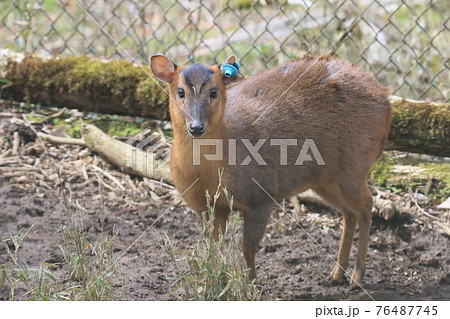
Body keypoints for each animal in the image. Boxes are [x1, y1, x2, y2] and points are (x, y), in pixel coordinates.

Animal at [150, 53, 390, 286]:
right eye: (180, 91)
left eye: (213, 91)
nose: (196, 127)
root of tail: (386, 96)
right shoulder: (207, 207)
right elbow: (213, 248)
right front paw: (213, 283)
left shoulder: (261, 196)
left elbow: (248, 249)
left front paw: (252, 285)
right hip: (326, 179)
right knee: (349, 213)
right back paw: (336, 274)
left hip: (354, 166)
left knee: (366, 206)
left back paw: (357, 276)